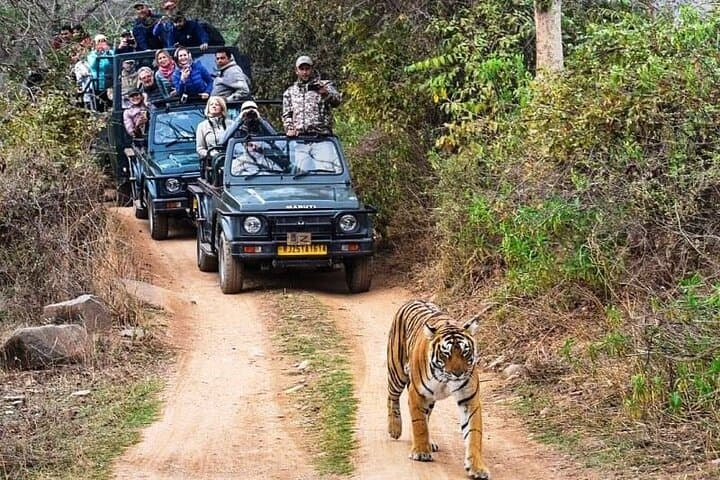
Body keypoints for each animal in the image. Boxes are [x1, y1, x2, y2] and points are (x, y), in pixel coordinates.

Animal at [387, 299, 490, 480]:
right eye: (445, 354)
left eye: (465, 352)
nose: (458, 373)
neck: (445, 379)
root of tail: (413, 300)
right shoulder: (417, 394)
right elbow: (419, 424)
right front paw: (421, 452)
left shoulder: (469, 399)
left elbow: (474, 433)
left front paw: (477, 467)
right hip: (396, 371)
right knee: (392, 397)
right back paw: (394, 428)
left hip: (430, 399)